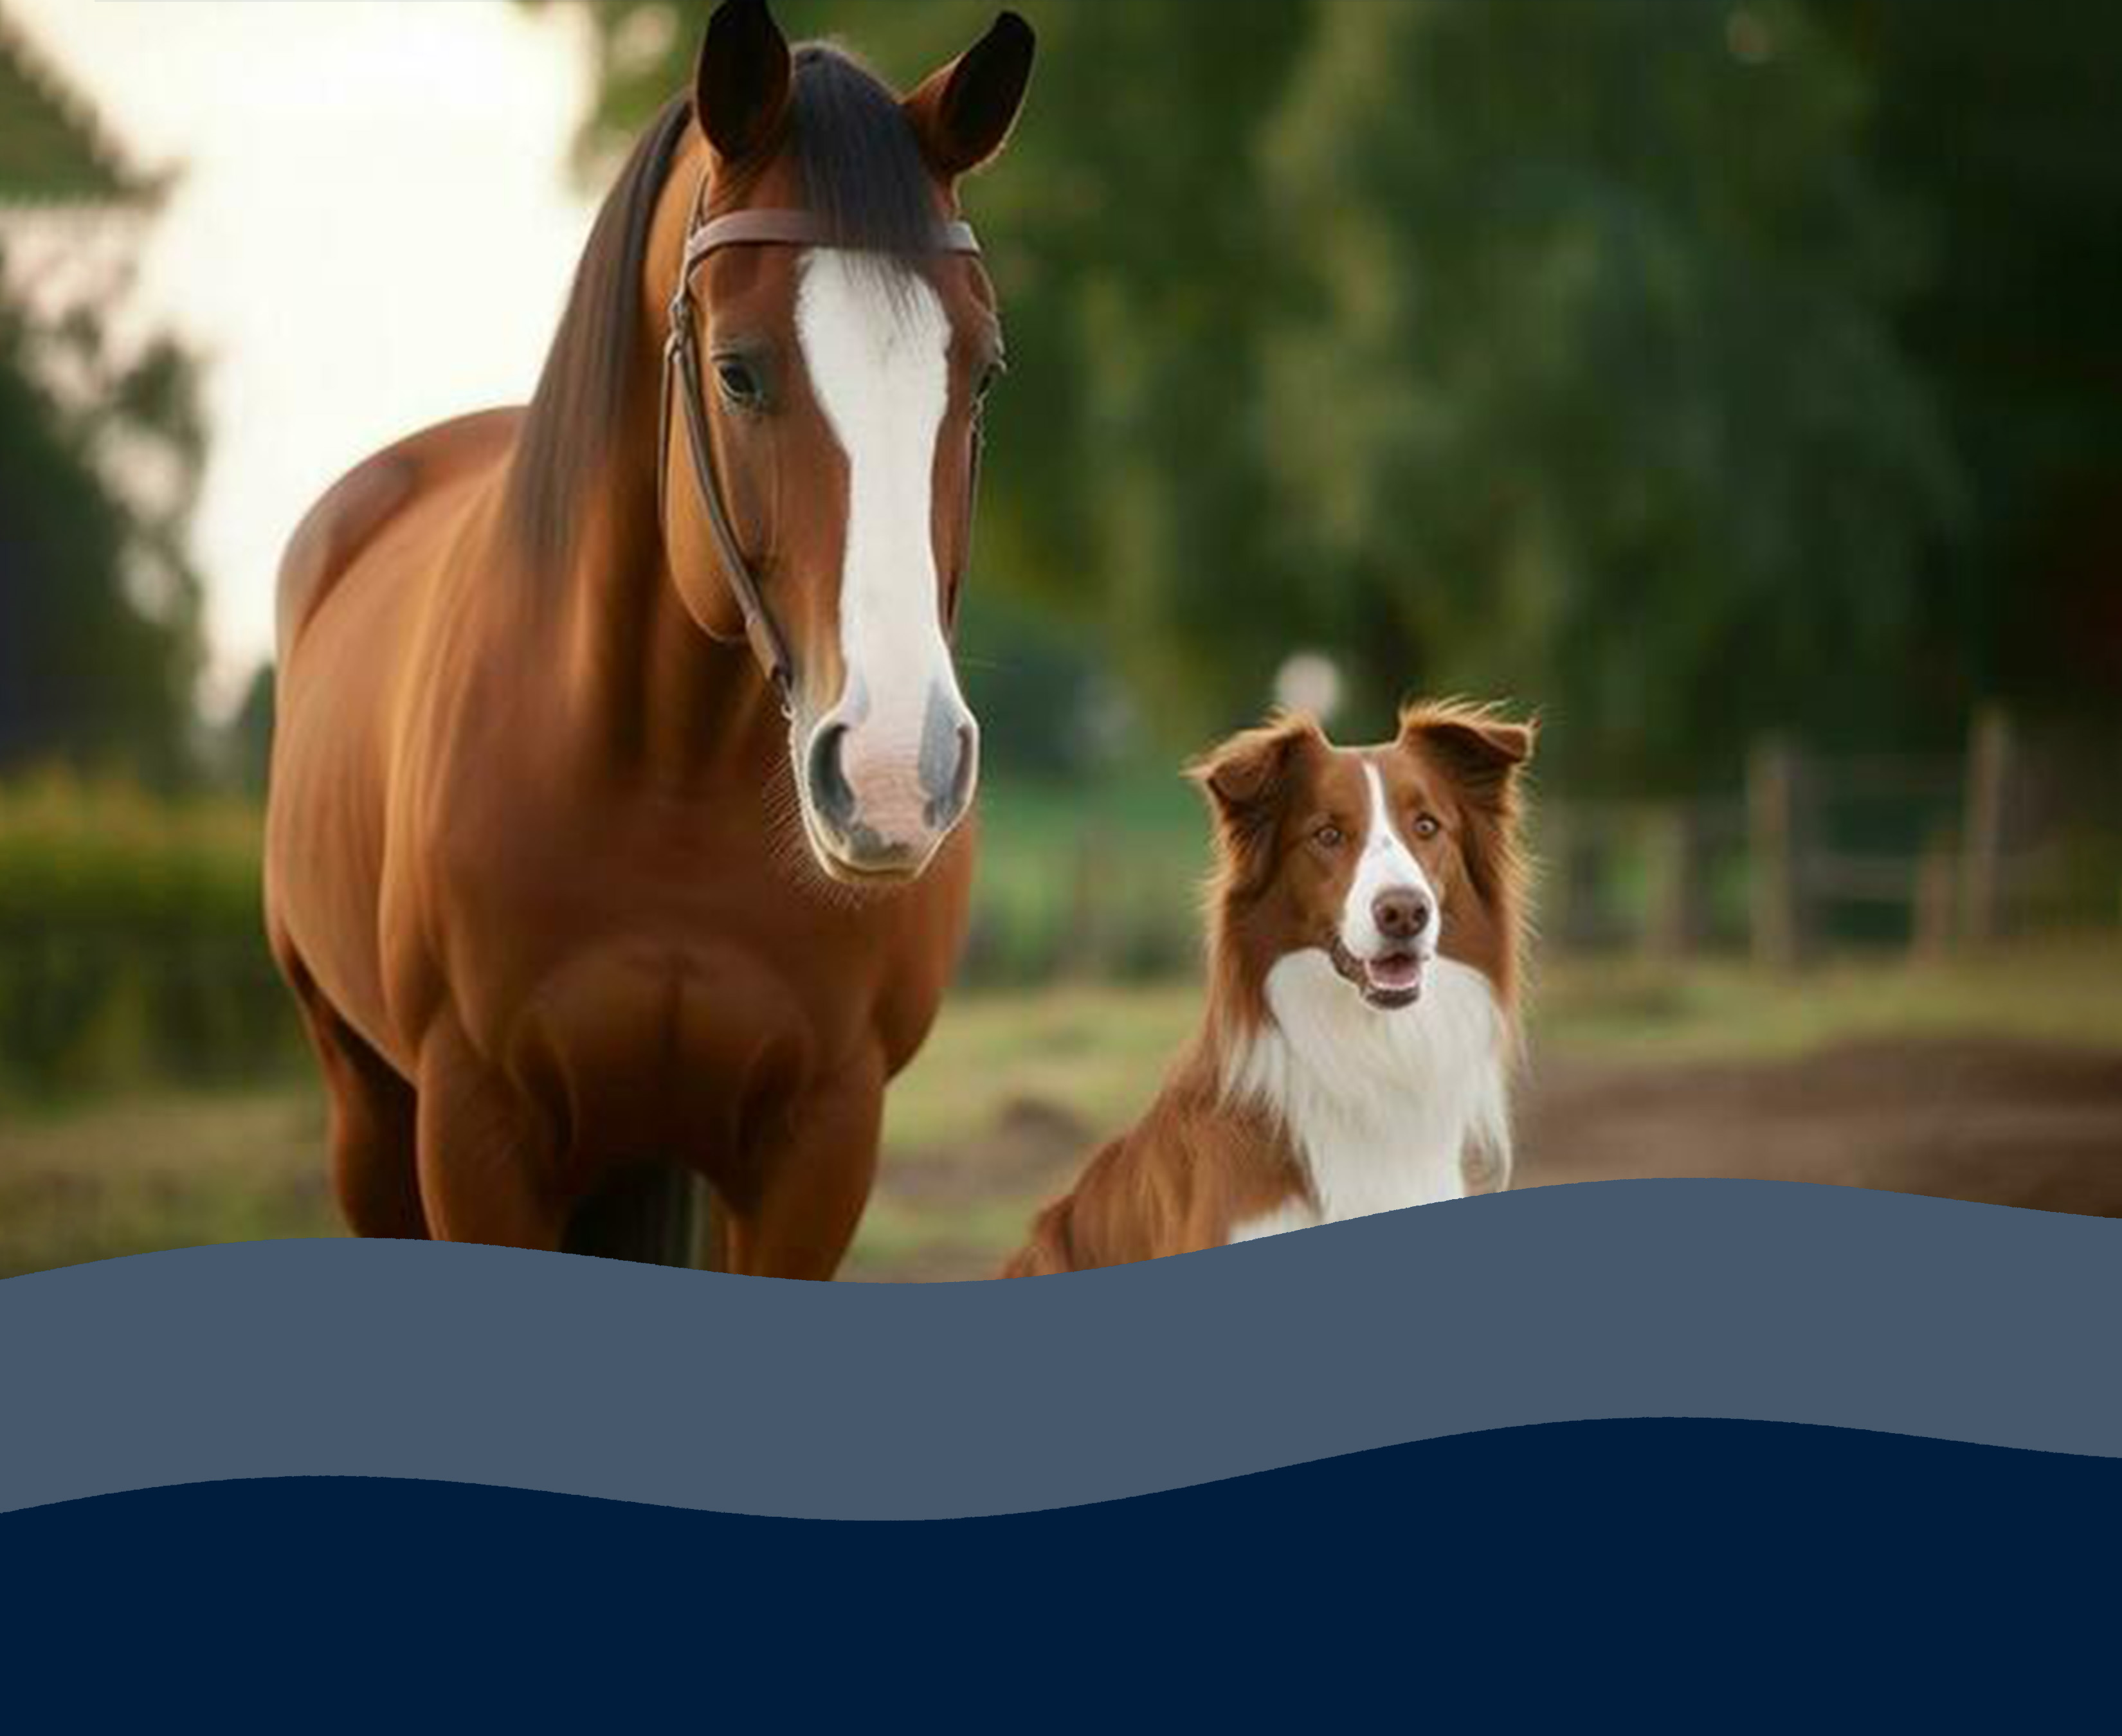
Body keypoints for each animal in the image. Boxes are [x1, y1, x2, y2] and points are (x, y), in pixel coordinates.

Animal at [263, 0, 1035, 1278]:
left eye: (979, 377)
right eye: (738, 372)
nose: (894, 775)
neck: (664, 774)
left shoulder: (820, 1146)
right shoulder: (475, 1135)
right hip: (364, 1107)